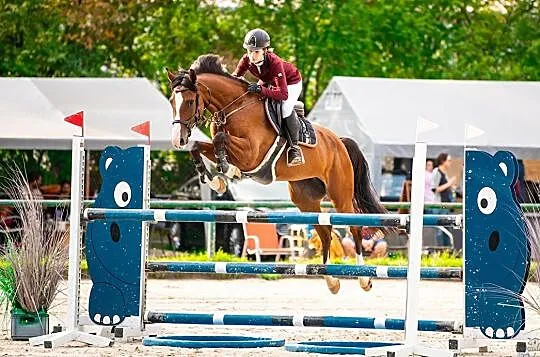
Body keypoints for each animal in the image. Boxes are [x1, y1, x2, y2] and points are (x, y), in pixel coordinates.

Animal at [167, 52, 386, 292]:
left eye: (189, 101)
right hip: (305, 199)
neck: (234, 109)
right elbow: (199, 145)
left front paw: (228, 171)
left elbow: (220, 140)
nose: (177, 140)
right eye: (172, 101)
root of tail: (339, 141)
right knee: (325, 232)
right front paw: (216, 180)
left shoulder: (251, 155)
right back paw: (332, 281)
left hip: (341, 194)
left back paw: (364, 279)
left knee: (354, 226)